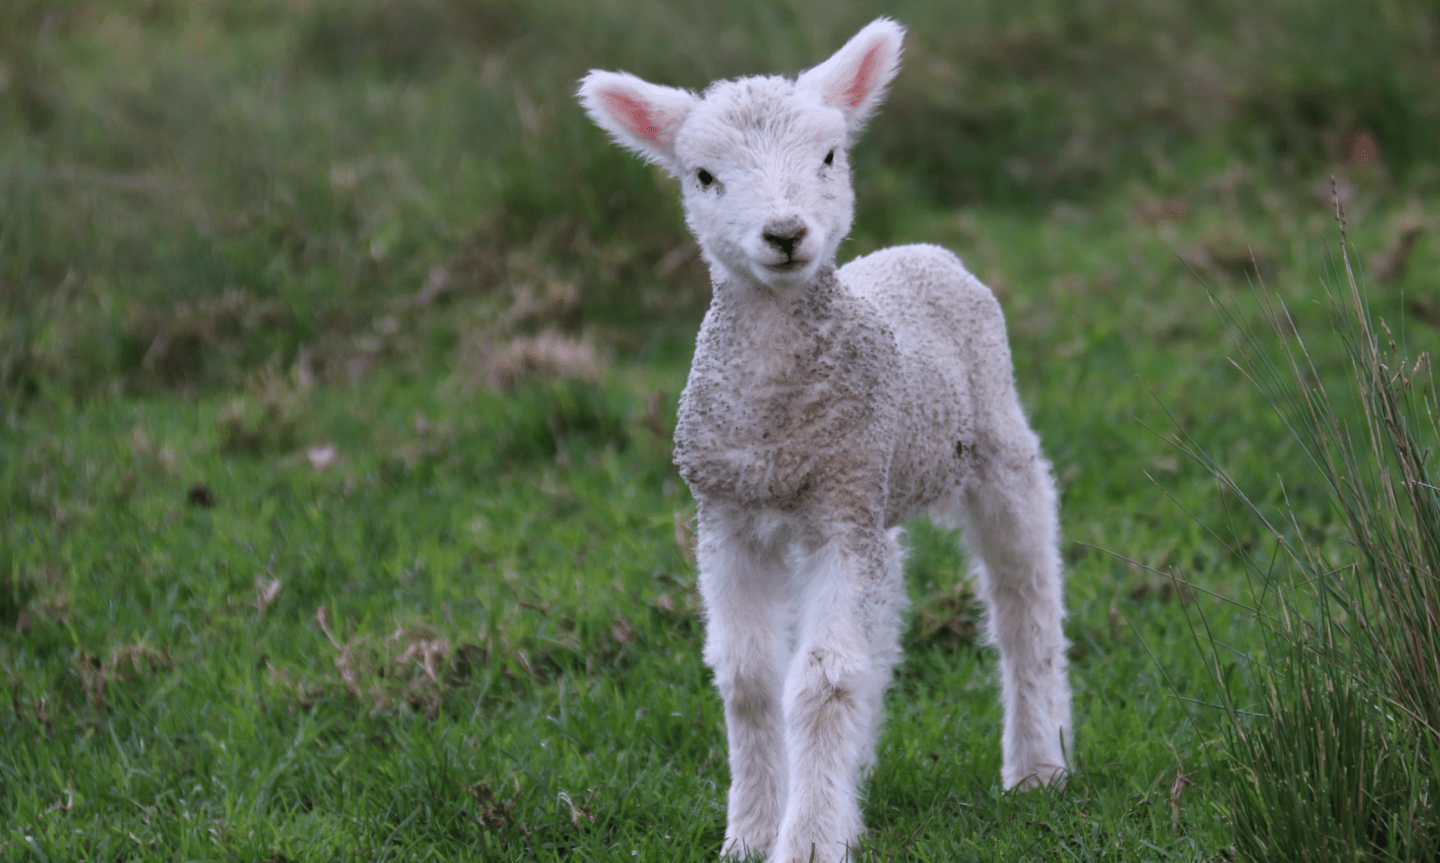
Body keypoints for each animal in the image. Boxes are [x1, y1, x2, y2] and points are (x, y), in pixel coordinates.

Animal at [578, 20, 1077, 863]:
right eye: (704, 175)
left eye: (830, 156)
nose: (784, 234)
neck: (776, 427)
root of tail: (923, 251)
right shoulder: (728, 517)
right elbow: (749, 680)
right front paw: (750, 831)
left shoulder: (840, 511)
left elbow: (821, 680)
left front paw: (808, 837)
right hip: (881, 490)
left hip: (994, 440)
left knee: (1024, 596)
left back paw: (1038, 763)